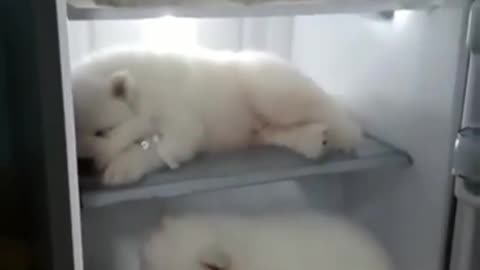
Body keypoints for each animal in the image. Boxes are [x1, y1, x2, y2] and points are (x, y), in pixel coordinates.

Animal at [72, 48, 364, 186]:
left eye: (102, 132)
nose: (82, 165)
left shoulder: (183, 122)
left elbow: (157, 147)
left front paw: (122, 167)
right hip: (261, 124)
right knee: (275, 131)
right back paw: (312, 140)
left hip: (269, 91)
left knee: (328, 109)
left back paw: (343, 133)